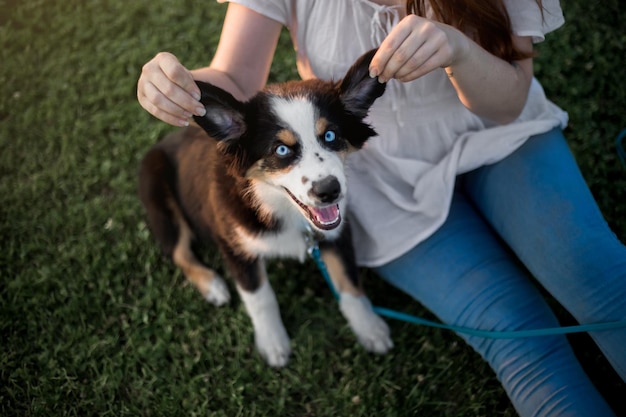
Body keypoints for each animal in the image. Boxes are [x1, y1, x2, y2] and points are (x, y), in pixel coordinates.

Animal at [139, 48, 390, 366]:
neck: (280, 207)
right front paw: (273, 344)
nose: (329, 191)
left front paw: (370, 329)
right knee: (179, 252)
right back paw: (213, 286)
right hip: (159, 196)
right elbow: (260, 297)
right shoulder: (234, 244)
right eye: (281, 150)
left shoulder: (336, 233)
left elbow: (348, 281)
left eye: (331, 135)